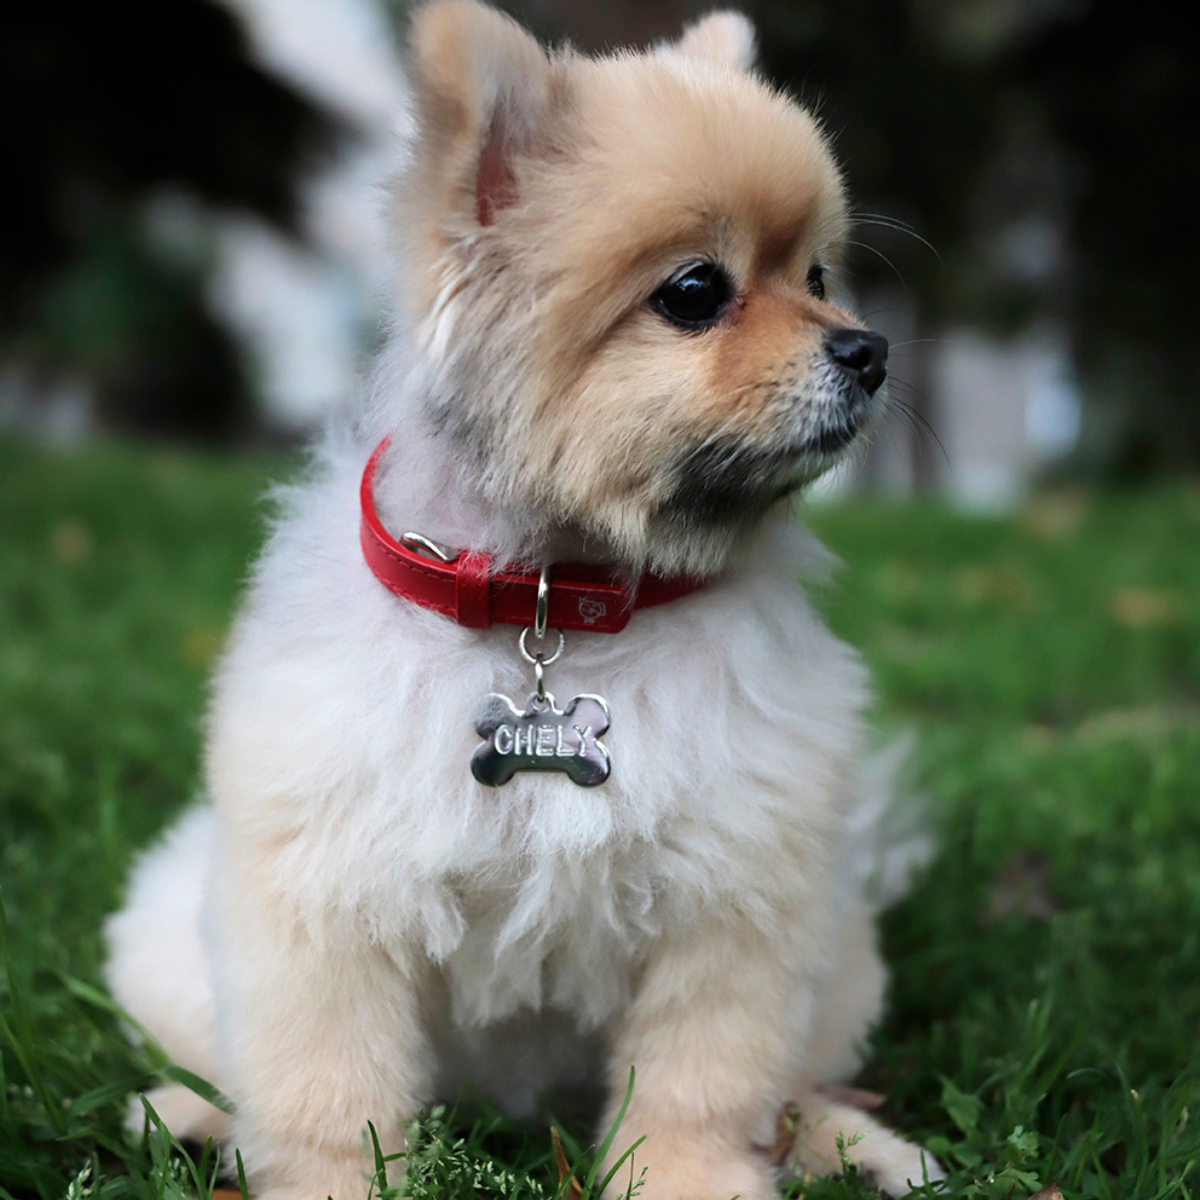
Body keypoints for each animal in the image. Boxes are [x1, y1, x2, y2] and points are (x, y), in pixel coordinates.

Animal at [103, 4, 940, 1195]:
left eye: (820, 274)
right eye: (696, 293)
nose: (868, 348)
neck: (556, 600)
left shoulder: (733, 904)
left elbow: (702, 1085)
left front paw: (689, 1177)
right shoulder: (323, 904)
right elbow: (326, 1093)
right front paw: (332, 1179)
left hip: (842, 961)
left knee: (797, 1082)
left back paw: (848, 1141)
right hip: (168, 938)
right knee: (221, 1062)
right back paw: (185, 1116)